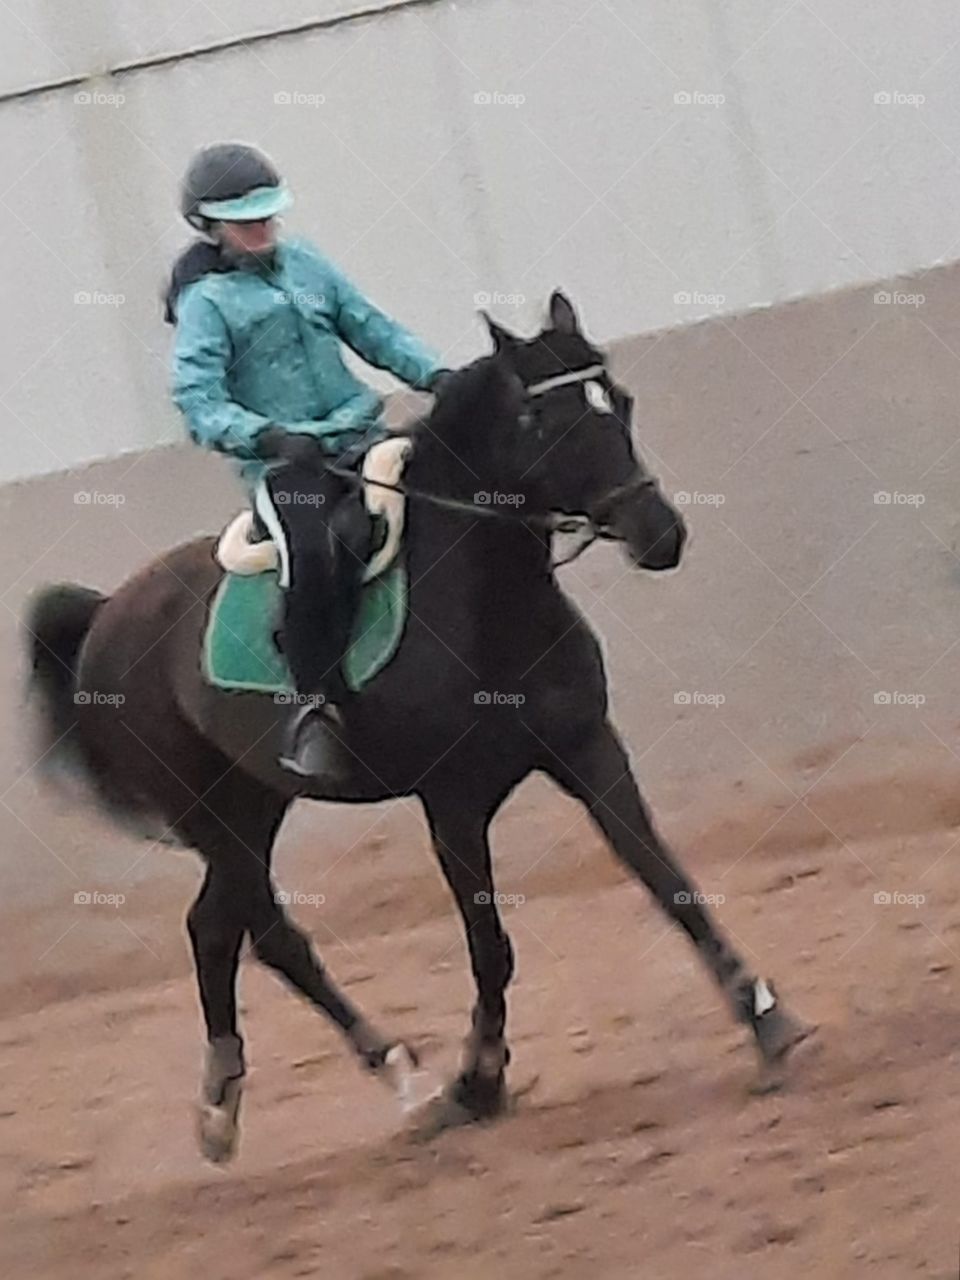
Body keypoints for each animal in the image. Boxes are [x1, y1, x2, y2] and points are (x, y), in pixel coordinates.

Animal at [24, 293, 814, 1162]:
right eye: (548, 420)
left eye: (620, 401)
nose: (660, 535)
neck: (487, 602)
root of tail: (106, 615)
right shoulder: (454, 800)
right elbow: (491, 948)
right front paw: (477, 1083)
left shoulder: (586, 749)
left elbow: (670, 884)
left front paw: (769, 1025)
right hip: (208, 814)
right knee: (258, 934)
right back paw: (386, 1083)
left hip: (253, 804)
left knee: (220, 929)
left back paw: (257, 1098)